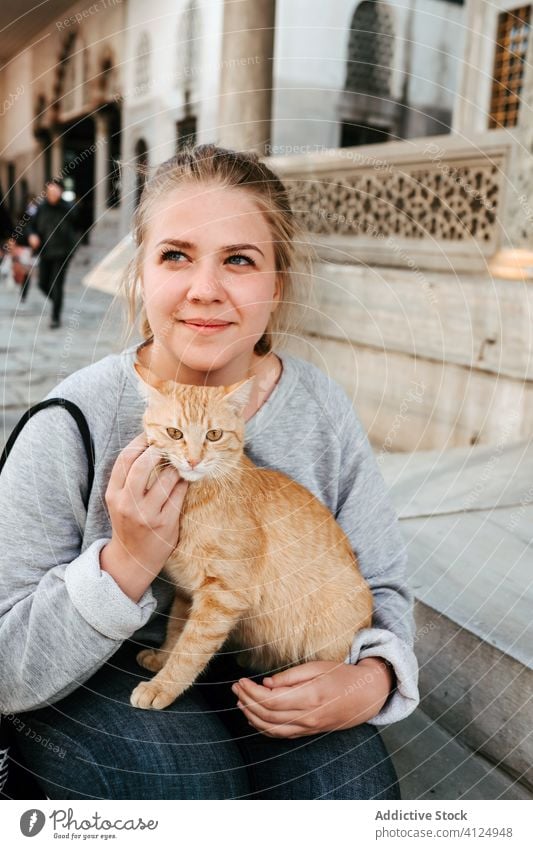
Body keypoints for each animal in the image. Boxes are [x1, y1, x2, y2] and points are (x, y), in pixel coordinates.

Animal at [129, 358, 372, 708]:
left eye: (214, 435)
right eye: (175, 433)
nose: (193, 459)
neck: (195, 497)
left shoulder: (222, 596)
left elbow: (190, 649)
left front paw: (163, 686)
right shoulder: (188, 592)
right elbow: (176, 630)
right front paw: (161, 658)